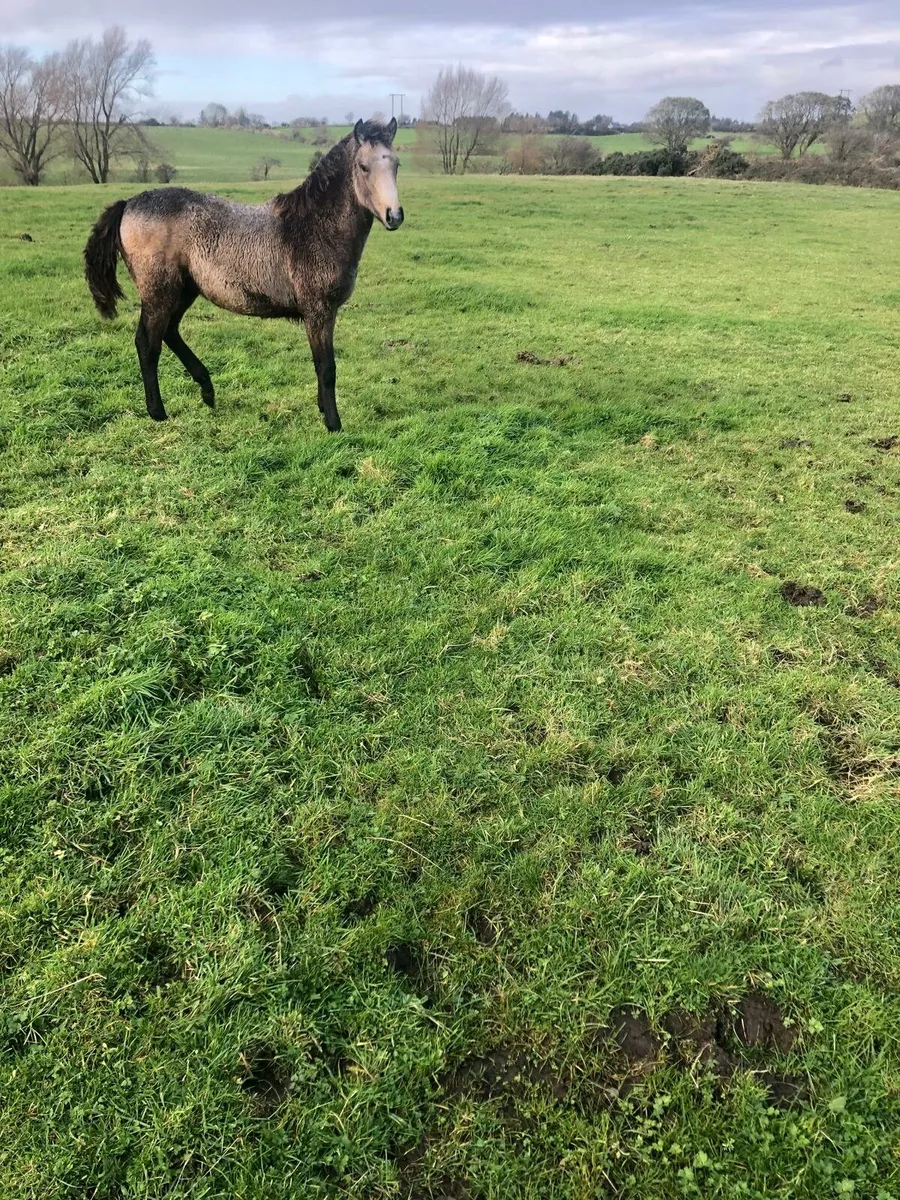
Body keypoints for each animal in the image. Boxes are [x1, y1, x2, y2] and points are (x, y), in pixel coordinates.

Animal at [83, 118, 404, 432]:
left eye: (396, 164)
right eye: (363, 166)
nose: (395, 216)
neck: (314, 227)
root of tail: (127, 204)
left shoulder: (323, 313)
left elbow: (320, 364)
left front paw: (323, 409)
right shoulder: (318, 310)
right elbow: (326, 367)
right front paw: (334, 424)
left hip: (184, 290)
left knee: (170, 332)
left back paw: (207, 390)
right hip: (158, 292)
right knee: (148, 343)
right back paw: (158, 411)